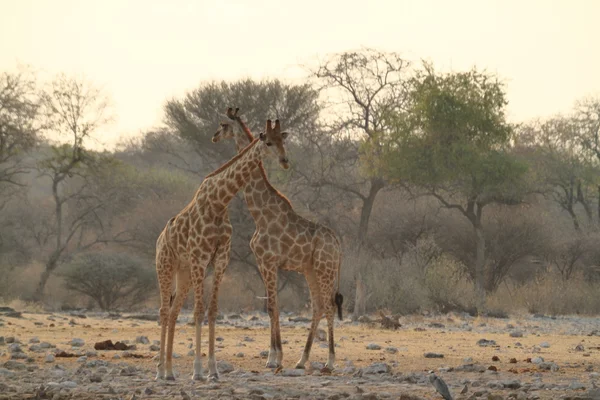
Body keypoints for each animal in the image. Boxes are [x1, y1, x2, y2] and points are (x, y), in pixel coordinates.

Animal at [155, 118, 290, 382]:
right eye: (269, 142)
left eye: (283, 140)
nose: (285, 161)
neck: (219, 203)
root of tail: (159, 239)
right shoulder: (200, 258)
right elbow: (198, 312)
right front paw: (197, 371)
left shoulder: (220, 261)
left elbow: (213, 311)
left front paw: (214, 371)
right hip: (165, 266)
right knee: (164, 311)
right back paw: (160, 371)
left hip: (184, 272)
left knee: (174, 311)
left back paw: (170, 372)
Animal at [212, 108, 344, 370]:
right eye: (270, 142)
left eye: (222, 124)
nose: (213, 136)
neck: (260, 214)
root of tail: (337, 244)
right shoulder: (263, 263)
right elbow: (270, 306)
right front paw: (275, 356)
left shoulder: (270, 261)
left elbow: (273, 307)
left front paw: (275, 358)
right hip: (310, 270)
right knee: (318, 307)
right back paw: (302, 360)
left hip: (325, 269)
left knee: (329, 306)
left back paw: (329, 361)